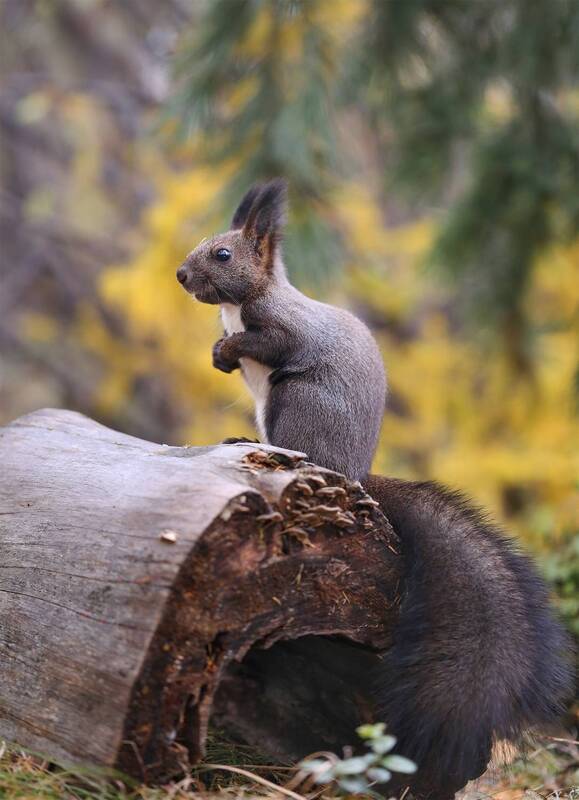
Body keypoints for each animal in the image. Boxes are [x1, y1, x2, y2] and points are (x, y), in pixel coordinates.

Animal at [177, 180, 572, 799]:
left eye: (222, 254)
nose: (180, 274)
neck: (241, 305)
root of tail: (355, 475)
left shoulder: (283, 330)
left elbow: (268, 343)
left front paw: (226, 352)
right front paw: (219, 356)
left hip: (298, 402)